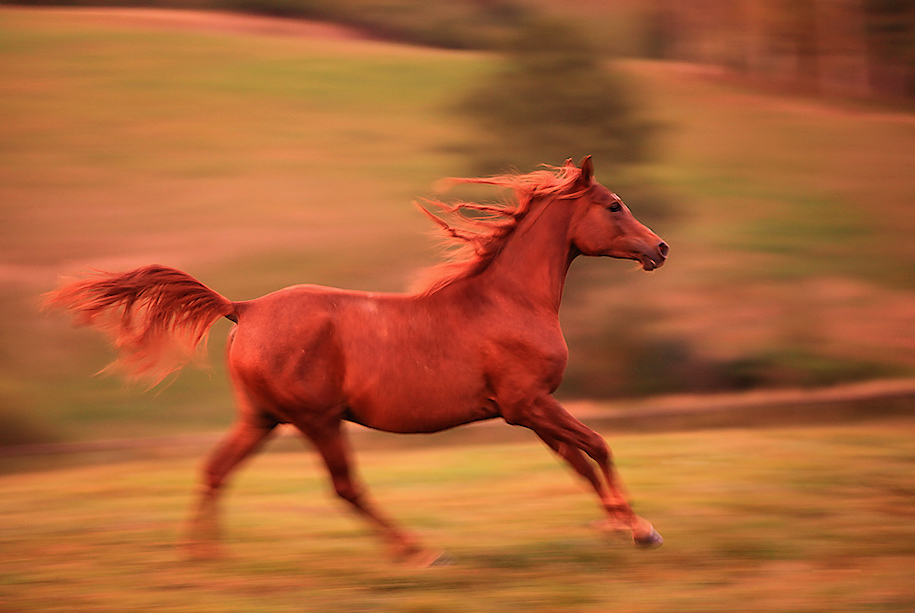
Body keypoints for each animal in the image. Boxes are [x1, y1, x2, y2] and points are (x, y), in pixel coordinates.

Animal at [44, 157, 672, 564]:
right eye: (614, 205)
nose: (660, 248)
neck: (509, 300)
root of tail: (243, 308)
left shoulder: (529, 410)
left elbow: (579, 462)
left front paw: (619, 524)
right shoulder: (529, 402)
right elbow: (598, 446)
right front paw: (639, 528)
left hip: (260, 419)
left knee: (216, 470)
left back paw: (202, 559)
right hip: (317, 419)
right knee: (344, 488)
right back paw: (418, 552)